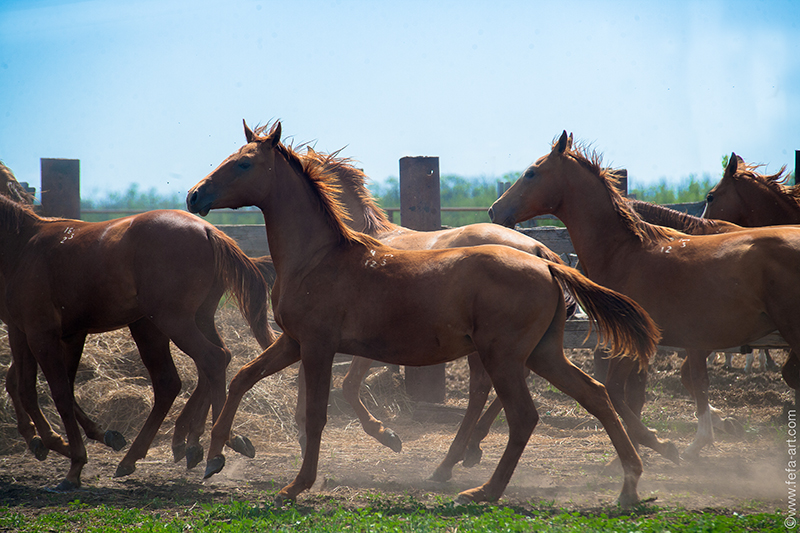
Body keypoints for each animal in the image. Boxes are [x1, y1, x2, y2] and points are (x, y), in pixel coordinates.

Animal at [0, 192, 274, 490]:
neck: (23, 245)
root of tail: (207, 230)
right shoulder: (41, 333)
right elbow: (33, 388)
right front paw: (82, 442)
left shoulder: (40, 334)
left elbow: (55, 392)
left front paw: (71, 462)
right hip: (188, 320)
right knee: (205, 365)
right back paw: (177, 447)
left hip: (170, 321)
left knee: (206, 363)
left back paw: (211, 450)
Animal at [184, 121, 660, 508]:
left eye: (244, 164)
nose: (194, 195)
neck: (317, 257)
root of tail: (546, 262)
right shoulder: (294, 342)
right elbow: (245, 377)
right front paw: (216, 456)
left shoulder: (318, 346)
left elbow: (317, 413)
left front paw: (296, 485)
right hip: (543, 354)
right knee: (595, 394)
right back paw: (630, 485)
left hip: (504, 356)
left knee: (522, 415)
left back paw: (480, 487)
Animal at [488, 131, 800, 460]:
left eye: (531, 173)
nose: (495, 210)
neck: (625, 252)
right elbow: (644, 391)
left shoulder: (636, 341)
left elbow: (616, 390)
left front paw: (661, 444)